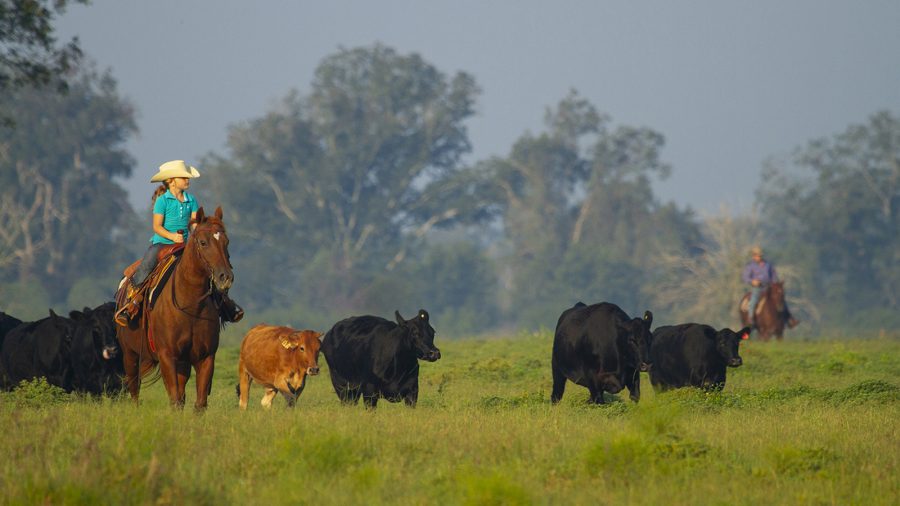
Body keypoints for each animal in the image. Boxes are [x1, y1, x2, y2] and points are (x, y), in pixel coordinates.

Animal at [116, 206, 233, 409]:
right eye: (203, 242)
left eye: (226, 241)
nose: (225, 277)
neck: (191, 306)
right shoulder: (167, 356)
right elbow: (175, 400)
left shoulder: (205, 357)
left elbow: (199, 403)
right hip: (130, 356)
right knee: (134, 390)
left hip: (182, 363)